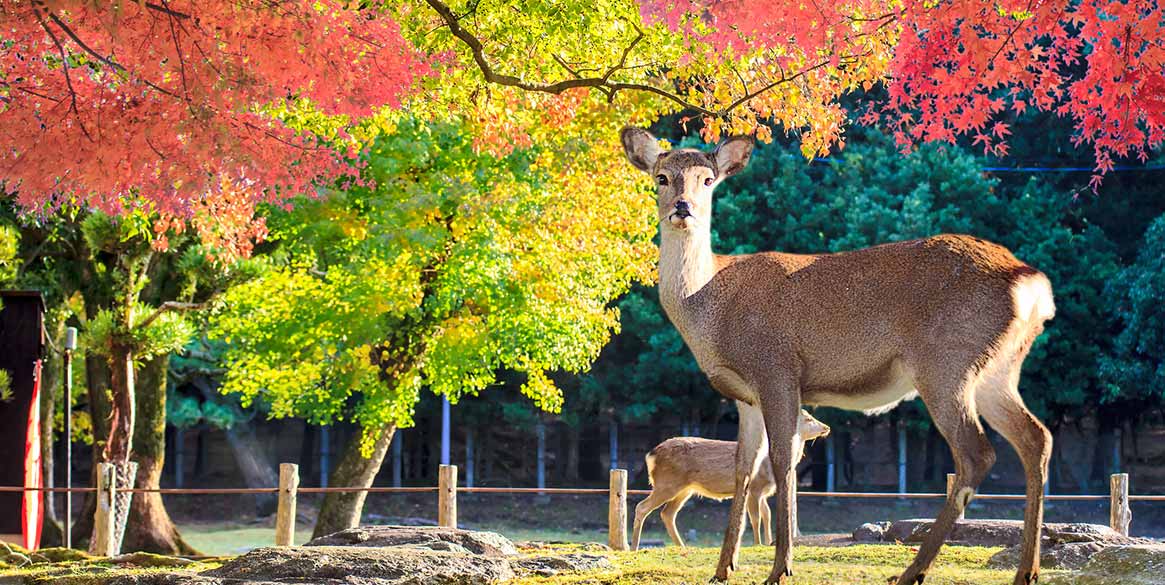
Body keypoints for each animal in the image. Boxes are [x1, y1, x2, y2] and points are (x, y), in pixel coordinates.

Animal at [629, 407, 829, 547]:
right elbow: (755, 517)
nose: (826, 427)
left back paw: (682, 547)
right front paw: (757, 543)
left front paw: (768, 542)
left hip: (685, 488)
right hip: (667, 483)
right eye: (808, 419)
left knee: (667, 513)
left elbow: (767, 514)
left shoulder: (763, 492)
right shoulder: (755, 487)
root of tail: (650, 455)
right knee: (642, 507)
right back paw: (634, 547)